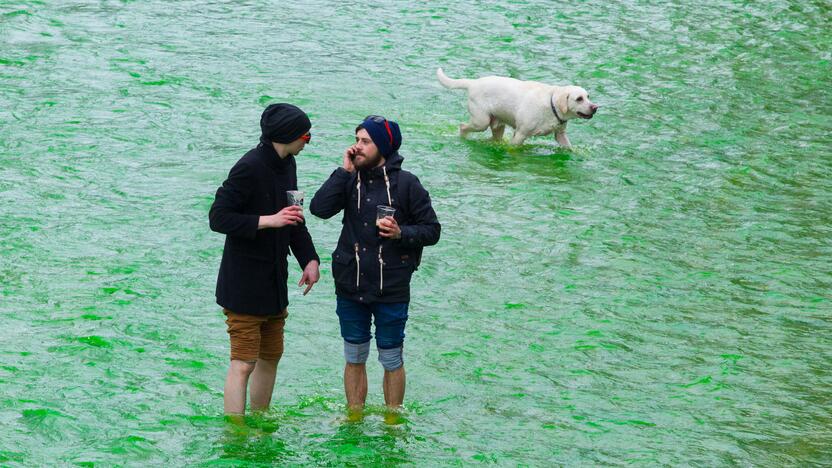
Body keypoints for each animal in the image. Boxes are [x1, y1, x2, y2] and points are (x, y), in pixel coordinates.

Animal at [436, 67, 600, 147]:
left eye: (588, 96)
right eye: (579, 99)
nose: (595, 107)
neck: (551, 105)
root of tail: (473, 83)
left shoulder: (560, 135)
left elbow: (569, 148)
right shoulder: (520, 134)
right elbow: (514, 147)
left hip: (497, 125)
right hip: (480, 122)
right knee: (463, 126)